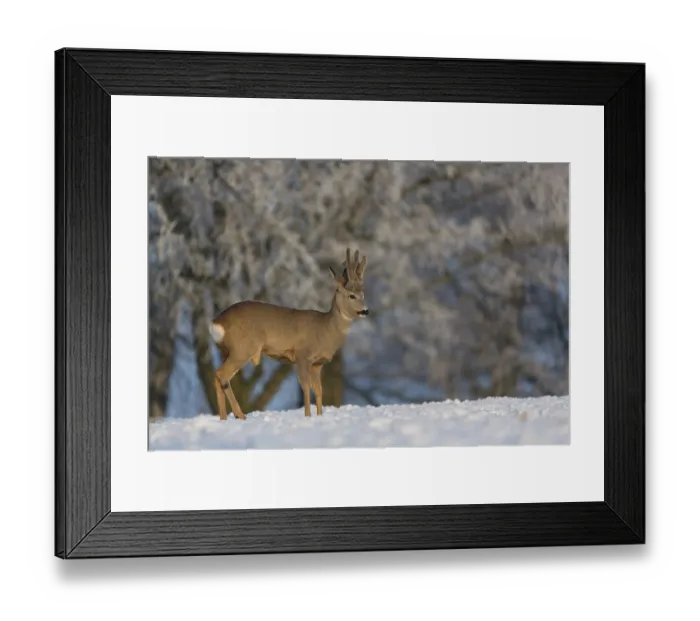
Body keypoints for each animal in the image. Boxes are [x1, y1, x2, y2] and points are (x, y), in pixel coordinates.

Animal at [208, 248, 369, 421]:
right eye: (352, 295)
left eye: (363, 294)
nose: (365, 311)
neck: (325, 329)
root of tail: (216, 323)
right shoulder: (302, 355)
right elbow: (306, 387)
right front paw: (307, 416)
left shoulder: (317, 364)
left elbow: (319, 390)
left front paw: (319, 416)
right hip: (243, 348)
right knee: (222, 375)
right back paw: (240, 415)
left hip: (227, 350)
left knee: (217, 376)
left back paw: (224, 418)